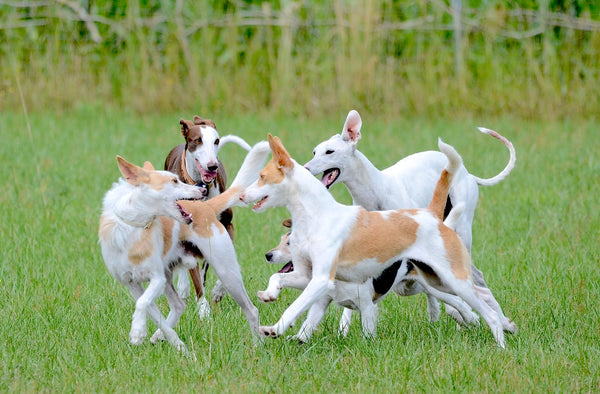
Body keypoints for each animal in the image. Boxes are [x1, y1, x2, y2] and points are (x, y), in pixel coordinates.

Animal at [99, 143, 268, 352]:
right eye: (174, 180)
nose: (201, 190)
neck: (134, 226)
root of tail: (206, 207)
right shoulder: (131, 283)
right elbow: (149, 309)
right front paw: (165, 339)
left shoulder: (157, 278)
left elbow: (142, 304)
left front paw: (137, 332)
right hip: (172, 274)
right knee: (178, 305)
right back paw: (165, 339)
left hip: (226, 271)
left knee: (251, 309)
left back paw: (258, 346)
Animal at [163, 116, 252, 318]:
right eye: (198, 140)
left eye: (216, 141)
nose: (213, 165)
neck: (201, 186)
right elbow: (196, 277)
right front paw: (203, 310)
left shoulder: (226, 226)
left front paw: (219, 291)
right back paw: (183, 288)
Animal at [241, 135, 512, 348]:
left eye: (262, 176)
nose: (241, 196)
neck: (316, 214)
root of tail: (432, 215)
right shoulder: (305, 275)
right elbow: (278, 278)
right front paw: (269, 294)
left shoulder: (320, 280)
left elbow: (295, 307)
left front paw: (275, 329)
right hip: (438, 279)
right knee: (482, 293)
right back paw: (508, 325)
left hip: (451, 278)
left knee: (485, 308)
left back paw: (500, 343)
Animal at [304, 108, 516, 332]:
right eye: (314, 152)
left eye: (330, 152)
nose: (305, 169)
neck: (376, 190)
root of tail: (469, 174)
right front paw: (343, 328)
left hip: (461, 235)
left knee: (475, 278)